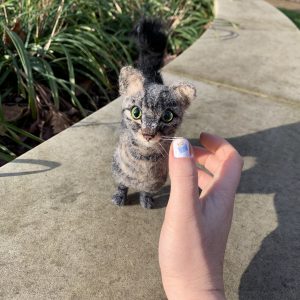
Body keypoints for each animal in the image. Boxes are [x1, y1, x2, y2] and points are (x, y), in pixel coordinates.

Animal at [111, 17, 196, 207]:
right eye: (136, 112)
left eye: (167, 116)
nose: (148, 134)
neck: (144, 158)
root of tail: (149, 74)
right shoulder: (118, 168)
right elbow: (121, 184)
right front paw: (119, 197)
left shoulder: (157, 180)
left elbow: (147, 191)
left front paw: (146, 200)